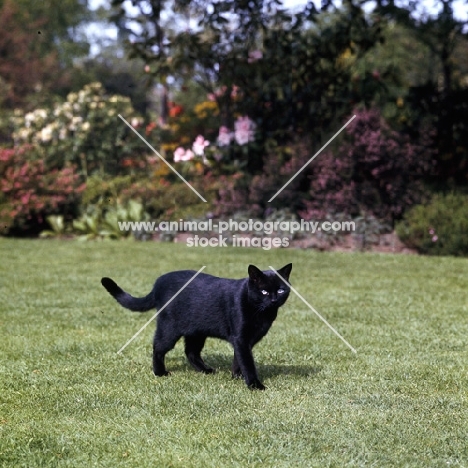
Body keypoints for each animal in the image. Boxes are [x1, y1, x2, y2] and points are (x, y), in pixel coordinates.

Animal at [101, 264, 292, 392]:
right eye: (264, 292)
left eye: (281, 290)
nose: (274, 300)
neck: (262, 312)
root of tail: (158, 283)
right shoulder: (241, 338)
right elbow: (247, 362)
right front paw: (254, 385)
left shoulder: (246, 341)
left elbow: (239, 360)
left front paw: (236, 377)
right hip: (170, 329)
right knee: (158, 348)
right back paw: (160, 373)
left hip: (197, 332)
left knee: (191, 352)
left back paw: (206, 370)